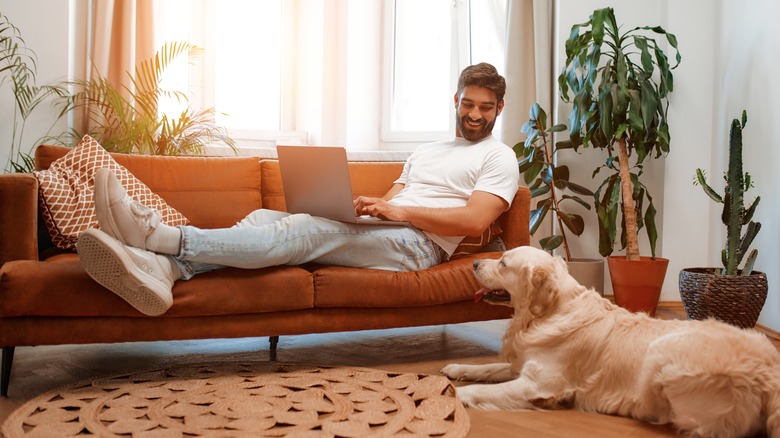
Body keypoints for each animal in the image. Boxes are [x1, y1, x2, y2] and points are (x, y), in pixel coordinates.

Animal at [442, 246, 780, 438]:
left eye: (503, 263)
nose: (473, 265)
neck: (547, 313)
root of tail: (769, 375)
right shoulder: (523, 366)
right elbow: (489, 368)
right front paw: (456, 368)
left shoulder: (538, 383)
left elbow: (478, 390)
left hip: (662, 353)